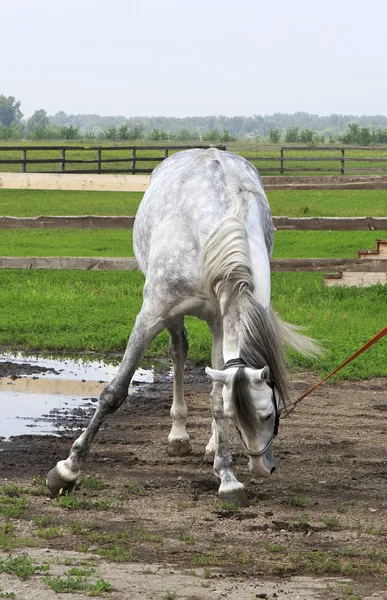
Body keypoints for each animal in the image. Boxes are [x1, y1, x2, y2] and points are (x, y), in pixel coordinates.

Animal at [46, 148, 318, 504]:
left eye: (270, 414)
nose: (265, 468)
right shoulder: (152, 315)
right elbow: (114, 393)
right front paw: (67, 470)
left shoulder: (221, 321)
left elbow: (217, 400)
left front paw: (227, 475)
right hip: (172, 317)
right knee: (178, 351)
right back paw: (178, 437)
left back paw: (211, 447)